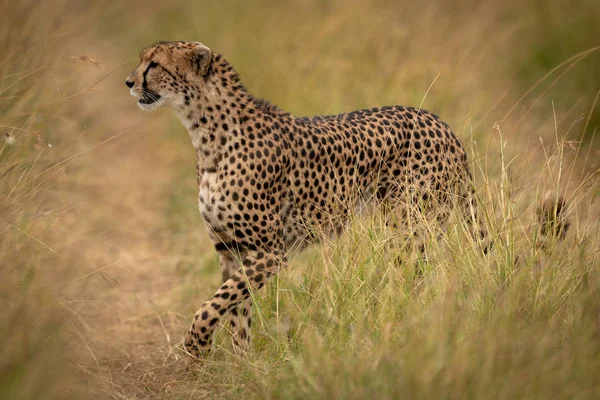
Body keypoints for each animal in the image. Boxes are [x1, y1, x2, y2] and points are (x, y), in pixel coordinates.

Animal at [126, 42, 488, 358]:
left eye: (154, 65)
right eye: (144, 60)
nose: (129, 82)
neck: (205, 133)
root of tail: (441, 124)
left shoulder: (269, 252)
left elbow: (214, 303)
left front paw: (197, 345)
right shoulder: (231, 248)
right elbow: (235, 309)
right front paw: (242, 364)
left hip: (409, 229)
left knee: (413, 279)